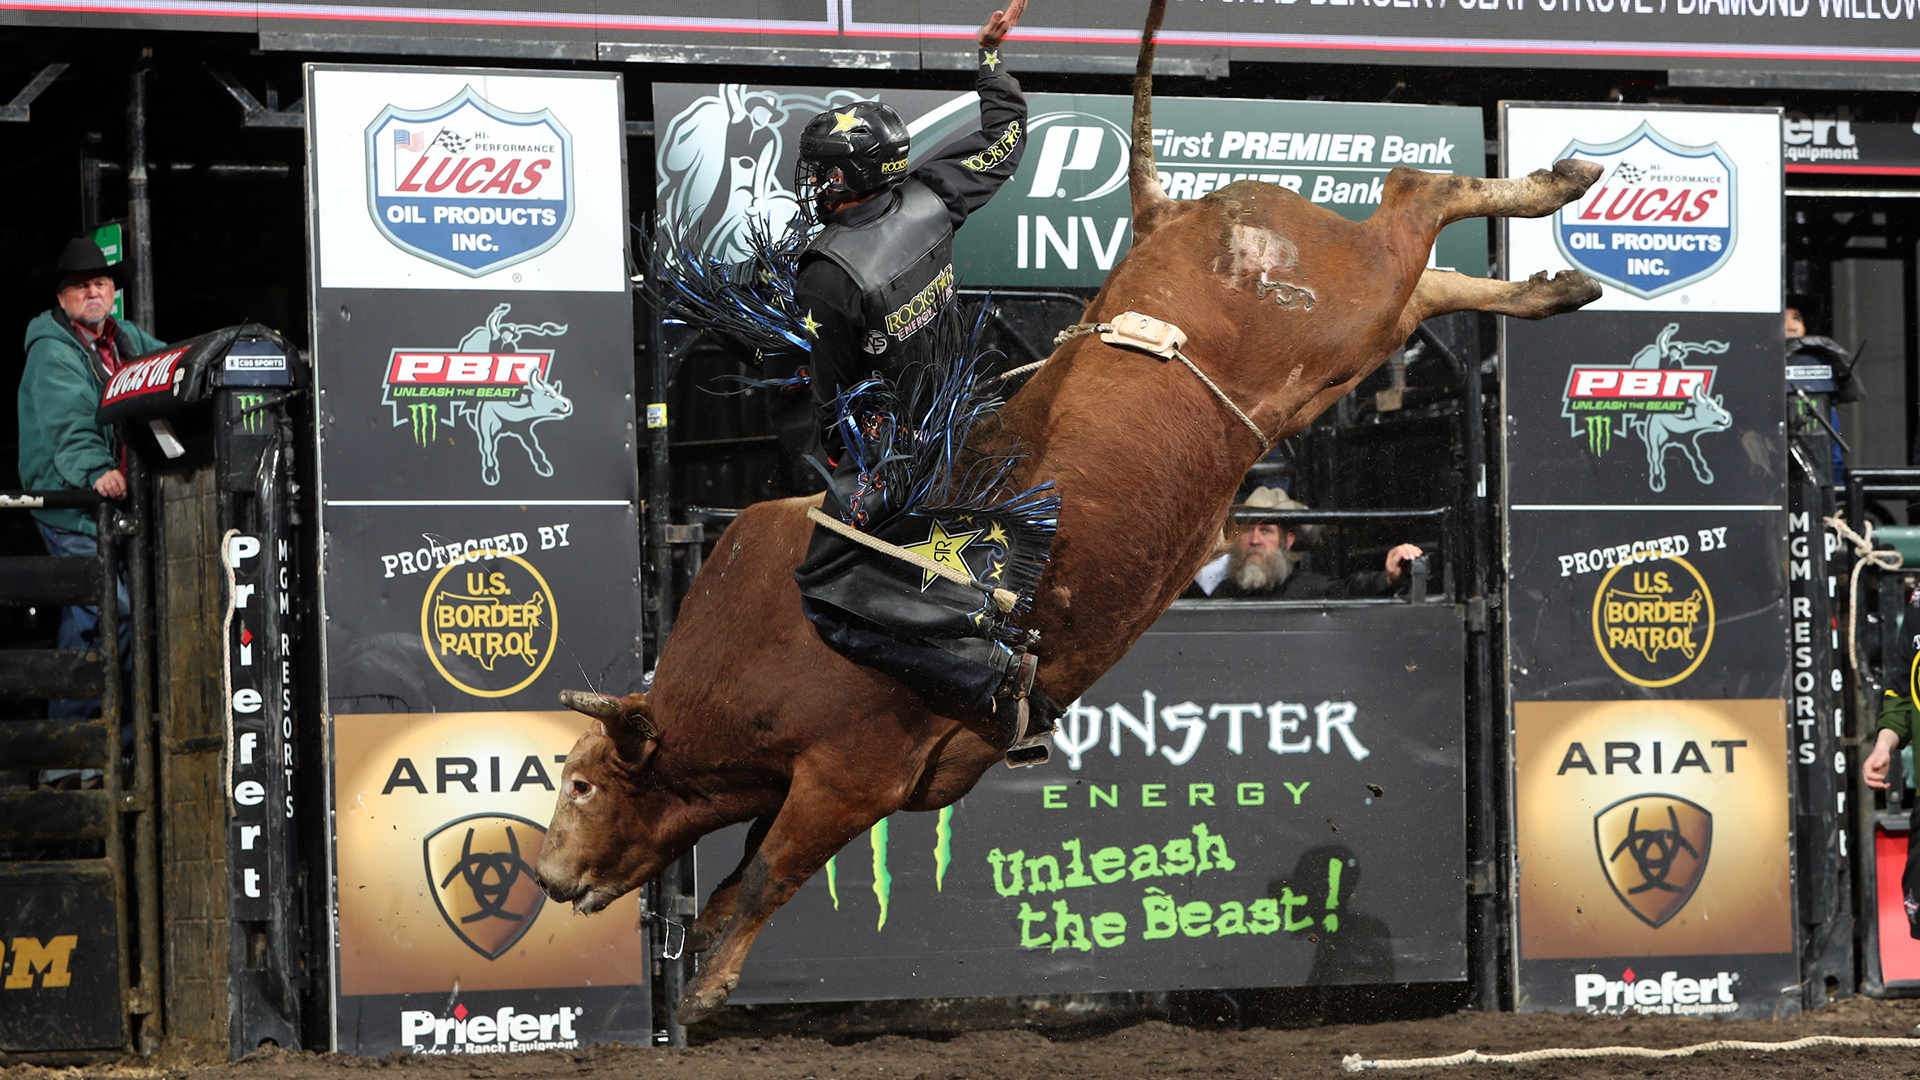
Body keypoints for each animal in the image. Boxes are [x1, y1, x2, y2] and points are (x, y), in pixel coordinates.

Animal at [535, 0, 1604, 1026]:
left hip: (1345, 301)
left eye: (582, 784)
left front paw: (706, 988)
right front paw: (703, 959)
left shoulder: (846, 779)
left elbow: (766, 876)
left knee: (1414, 194)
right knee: (1431, 279)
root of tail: (1170, 217)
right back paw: (1557, 279)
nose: (545, 876)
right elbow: (739, 878)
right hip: (1349, 342)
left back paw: (1557, 182)